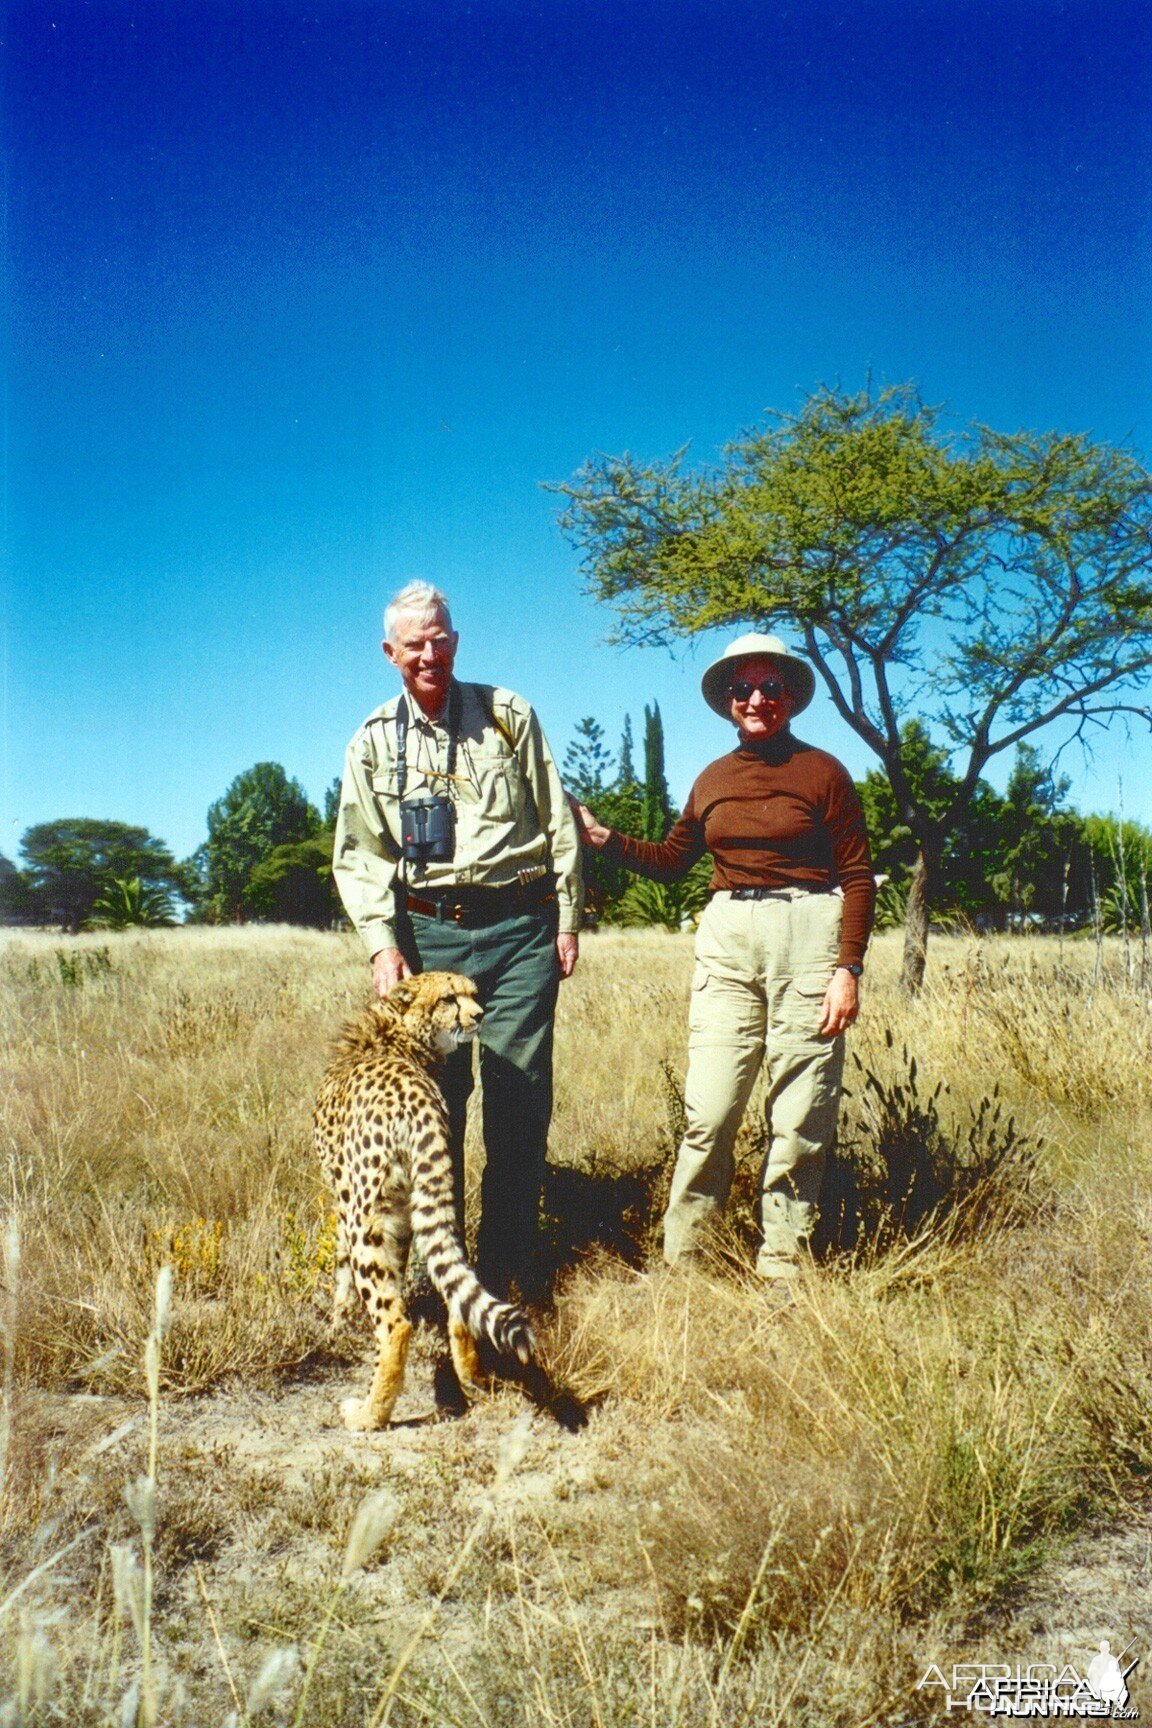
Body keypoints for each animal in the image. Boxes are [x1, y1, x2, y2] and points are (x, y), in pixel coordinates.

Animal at [312, 974, 535, 1430]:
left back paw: (369, 1414)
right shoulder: (395, 1220)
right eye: (450, 998)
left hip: (365, 1219)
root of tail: (417, 1098)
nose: (480, 1015)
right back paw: (470, 1379)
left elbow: (340, 1274)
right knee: (459, 1301)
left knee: (395, 1325)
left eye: (472, 995)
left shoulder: (345, 1205)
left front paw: (335, 1328)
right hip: (431, 1199)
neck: (396, 1037)